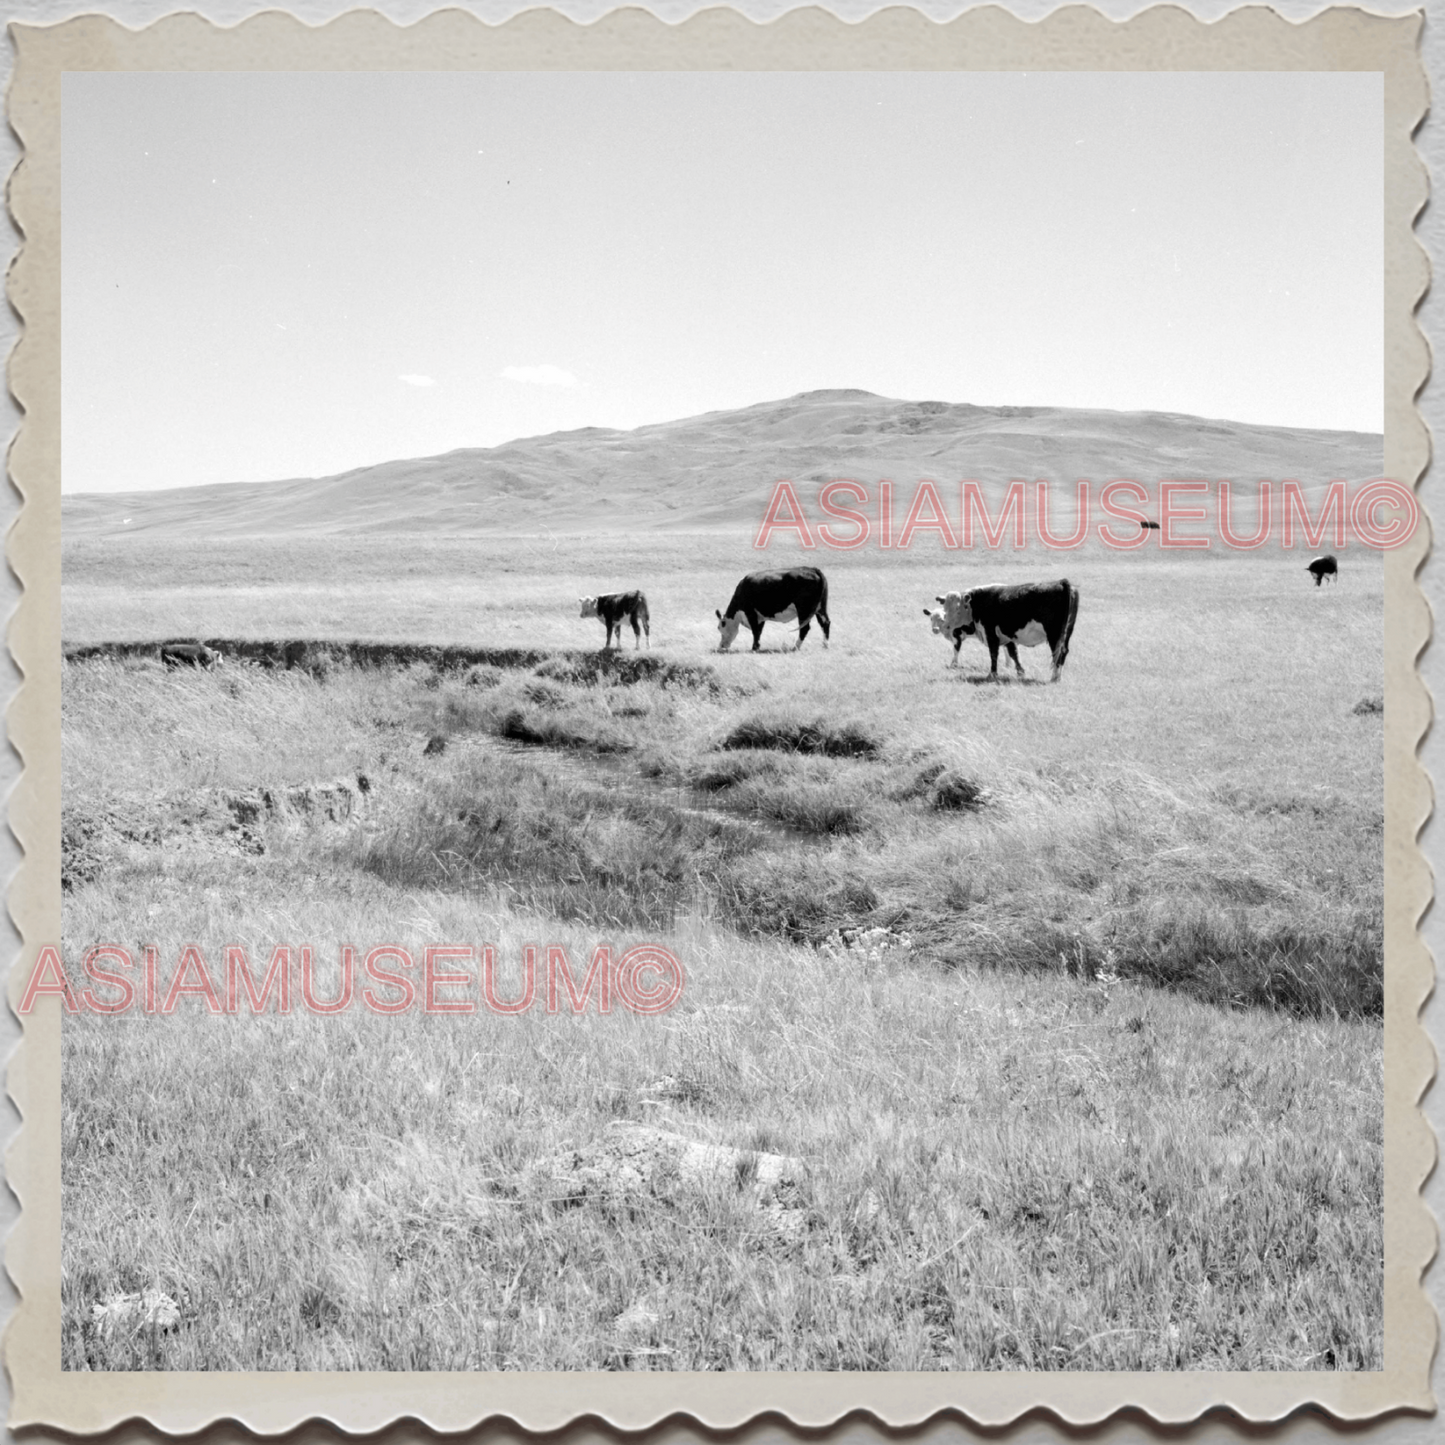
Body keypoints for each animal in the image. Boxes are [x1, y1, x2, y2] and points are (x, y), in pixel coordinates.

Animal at [924, 578, 1086, 679]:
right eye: (945, 609)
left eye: (957, 610)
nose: (946, 627)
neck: (977, 603)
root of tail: (1061, 582)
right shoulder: (1007, 635)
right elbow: (1013, 653)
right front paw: (1020, 672)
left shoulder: (990, 633)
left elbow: (994, 654)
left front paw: (992, 674)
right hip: (1067, 632)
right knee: (1064, 652)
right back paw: (1057, 677)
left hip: (1054, 634)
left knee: (1057, 652)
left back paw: (1054, 677)